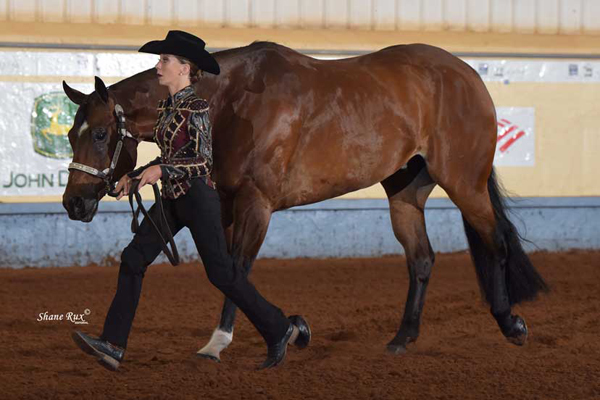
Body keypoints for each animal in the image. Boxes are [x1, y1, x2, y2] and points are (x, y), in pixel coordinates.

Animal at [62, 42, 548, 360]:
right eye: (70, 134)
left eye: (101, 134)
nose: (74, 204)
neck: (229, 102)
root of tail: (468, 75)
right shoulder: (219, 205)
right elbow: (223, 272)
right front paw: (290, 329)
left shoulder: (256, 204)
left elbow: (235, 270)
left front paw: (225, 341)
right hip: (405, 192)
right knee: (422, 259)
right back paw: (401, 339)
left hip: (465, 182)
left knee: (496, 243)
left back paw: (512, 325)